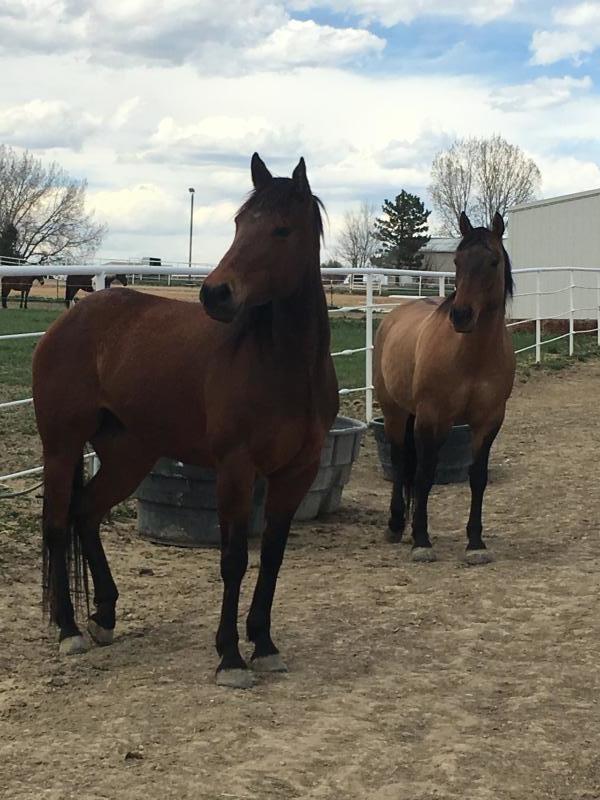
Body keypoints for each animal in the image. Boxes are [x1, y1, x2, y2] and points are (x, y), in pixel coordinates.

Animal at [33, 154, 338, 688]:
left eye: (281, 229)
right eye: (239, 223)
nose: (216, 294)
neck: (285, 365)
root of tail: (68, 321)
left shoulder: (296, 472)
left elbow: (272, 557)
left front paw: (264, 644)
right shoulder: (236, 469)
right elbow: (234, 560)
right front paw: (230, 657)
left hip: (129, 455)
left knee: (85, 513)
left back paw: (105, 617)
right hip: (62, 446)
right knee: (55, 523)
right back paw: (69, 630)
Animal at [374, 212, 515, 565]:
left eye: (493, 261)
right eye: (457, 260)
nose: (461, 315)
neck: (472, 356)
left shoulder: (489, 421)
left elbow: (478, 477)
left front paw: (475, 543)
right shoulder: (431, 417)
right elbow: (424, 474)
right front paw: (421, 541)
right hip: (395, 412)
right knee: (401, 463)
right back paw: (396, 526)